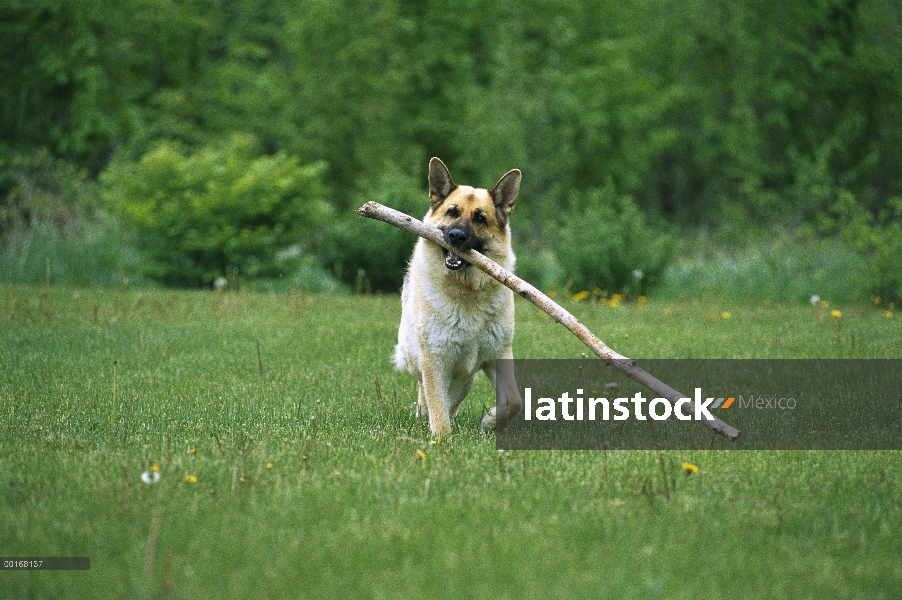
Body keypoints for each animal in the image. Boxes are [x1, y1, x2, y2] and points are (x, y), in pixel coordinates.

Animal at [394, 158, 524, 436]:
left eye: (480, 218)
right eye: (452, 212)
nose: (456, 236)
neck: (467, 292)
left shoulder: (498, 354)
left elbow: (514, 401)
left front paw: (490, 420)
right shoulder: (434, 360)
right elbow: (437, 408)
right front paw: (442, 441)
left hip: (466, 377)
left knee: (452, 399)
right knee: (427, 399)